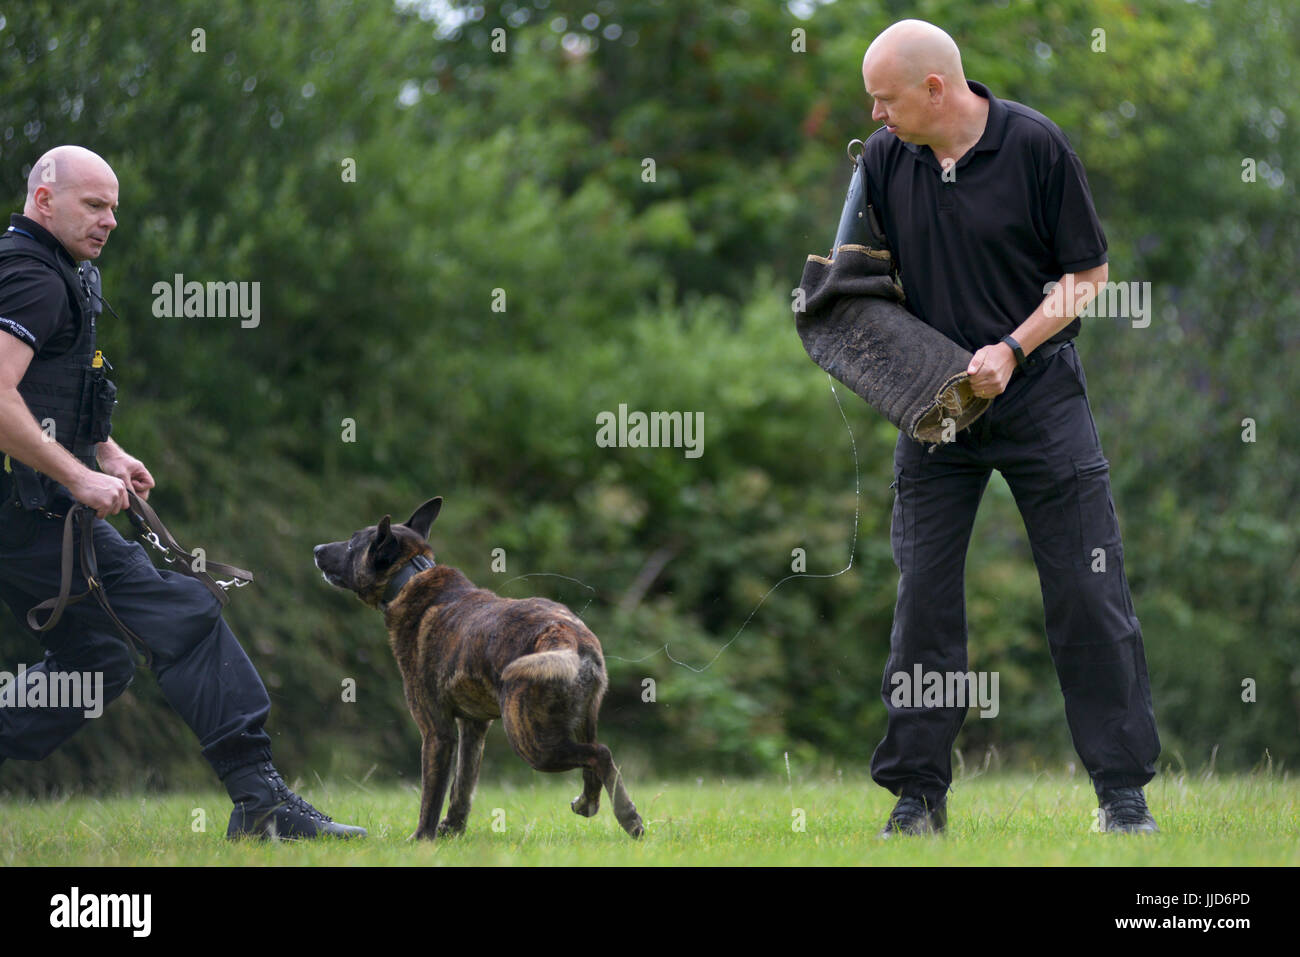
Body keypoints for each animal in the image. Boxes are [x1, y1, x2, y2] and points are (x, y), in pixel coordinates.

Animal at [310, 496, 644, 842]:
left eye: (352, 543)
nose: (317, 549)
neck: (410, 577)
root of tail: (565, 635)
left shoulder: (437, 732)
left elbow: (432, 794)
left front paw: (422, 838)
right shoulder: (473, 726)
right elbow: (463, 786)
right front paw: (452, 828)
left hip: (530, 741)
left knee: (600, 754)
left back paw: (628, 816)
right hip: (580, 722)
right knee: (594, 761)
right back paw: (590, 804)